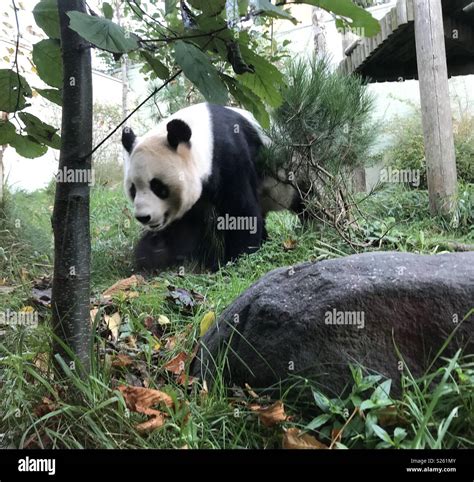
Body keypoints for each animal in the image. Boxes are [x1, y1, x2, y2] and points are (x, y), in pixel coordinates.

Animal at [120, 101, 296, 272]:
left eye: (158, 187)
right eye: (133, 189)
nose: (143, 217)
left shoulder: (230, 156)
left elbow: (241, 212)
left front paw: (234, 260)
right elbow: (183, 228)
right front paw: (152, 256)